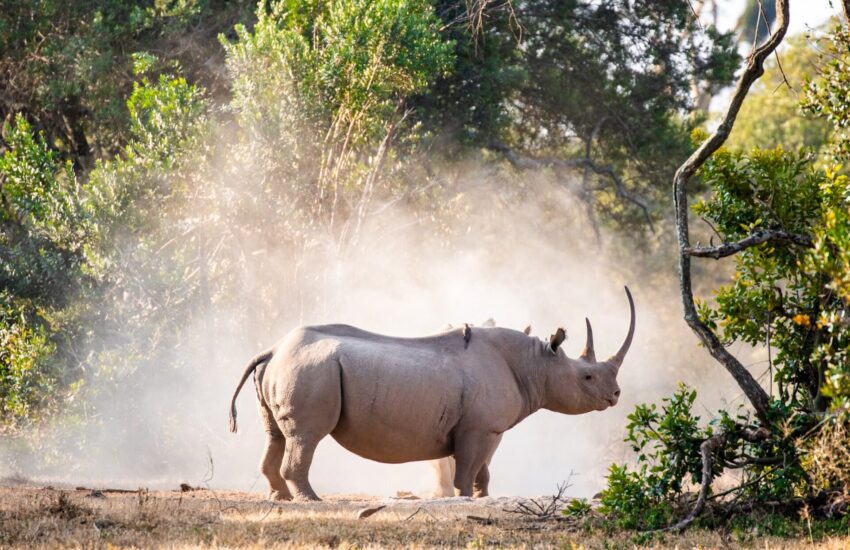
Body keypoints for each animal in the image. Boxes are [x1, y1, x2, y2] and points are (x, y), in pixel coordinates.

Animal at [229, 287, 635, 501]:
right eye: (587, 377)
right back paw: (313, 500)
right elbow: (468, 469)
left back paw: (280, 497)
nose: (615, 395)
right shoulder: (479, 428)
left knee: (277, 435)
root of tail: (273, 349)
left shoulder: (485, 428)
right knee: (307, 434)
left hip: (293, 367)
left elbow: (484, 469)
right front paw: (467, 499)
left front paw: (483, 498)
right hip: (312, 369)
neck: (536, 364)